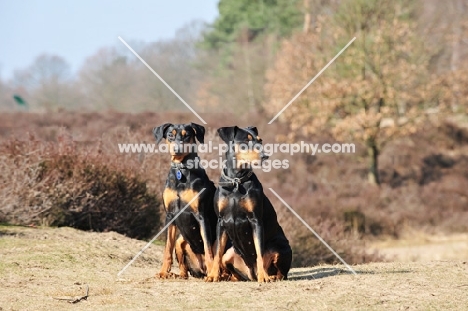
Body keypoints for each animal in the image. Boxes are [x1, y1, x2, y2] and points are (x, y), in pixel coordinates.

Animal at [154, 123, 218, 280]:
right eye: (170, 135)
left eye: (187, 135)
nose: (177, 149)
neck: (181, 169)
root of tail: (200, 271)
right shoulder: (170, 215)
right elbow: (167, 248)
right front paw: (163, 272)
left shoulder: (201, 215)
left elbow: (208, 248)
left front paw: (213, 275)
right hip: (180, 242)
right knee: (184, 271)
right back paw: (175, 274)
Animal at [206, 126, 290, 282]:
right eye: (246, 141)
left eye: (260, 140)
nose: (265, 156)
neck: (236, 181)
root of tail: (252, 273)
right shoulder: (221, 221)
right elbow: (217, 252)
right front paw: (213, 275)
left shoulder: (255, 220)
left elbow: (259, 252)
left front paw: (264, 277)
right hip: (230, 253)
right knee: (230, 266)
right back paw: (228, 276)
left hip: (281, 247)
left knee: (281, 272)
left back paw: (270, 276)